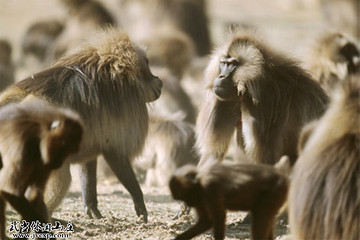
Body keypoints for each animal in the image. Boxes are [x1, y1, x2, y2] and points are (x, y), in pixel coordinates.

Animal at [0, 96, 83, 239]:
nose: (59, 162)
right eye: (63, 146)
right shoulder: (21, 147)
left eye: (69, 151)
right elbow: (10, 191)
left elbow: (33, 194)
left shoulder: (44, 160)